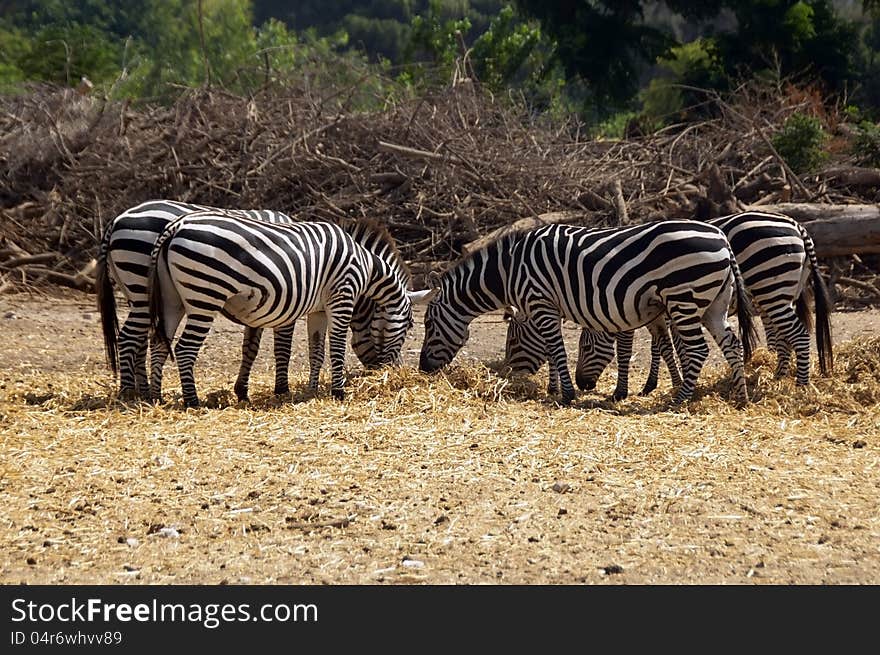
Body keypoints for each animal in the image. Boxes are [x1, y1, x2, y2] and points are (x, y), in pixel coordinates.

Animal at [420, 222, 756, 404]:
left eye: (429, 324)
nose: (423, 368)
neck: (509, 271)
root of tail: (722, 238)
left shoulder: (540, 301)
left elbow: (556, 349)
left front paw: (566, 393)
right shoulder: (550, 306)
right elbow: (552, 351)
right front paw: (556, 388)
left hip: (685, 298)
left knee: (699, 350)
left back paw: (680, 398)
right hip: (714, 304)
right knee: (732, 343)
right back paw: (740, 396)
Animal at [502, 214, 832, 400]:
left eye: (514, 342)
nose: (583, 385)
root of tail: (796, 224)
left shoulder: (636, 308)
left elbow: (637, 348)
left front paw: (628, 390)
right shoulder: (656, 311)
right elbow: (664, 346)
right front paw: (662, 383)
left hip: (770, 286)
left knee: (794, 334)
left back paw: (797, 385)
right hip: (779, 292)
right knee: (783, 335)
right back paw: (777, 377)